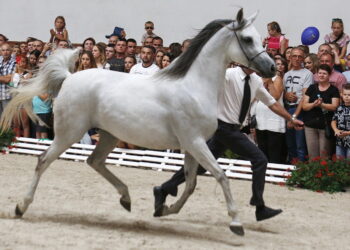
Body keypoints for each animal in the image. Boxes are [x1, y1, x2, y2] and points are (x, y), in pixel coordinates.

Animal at [0, 9, 276, 236]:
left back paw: (126, 199)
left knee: (94, 161)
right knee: (43, 160)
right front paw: (236, 224)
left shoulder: (192, 145)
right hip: (70, 132)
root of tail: (69, 77)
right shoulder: (195, 142)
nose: (272, 68)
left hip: (108, 134)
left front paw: (163, 209)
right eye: (248, 39)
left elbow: (191, 184)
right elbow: (221, 176)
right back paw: (20, 207)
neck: (193, 86)